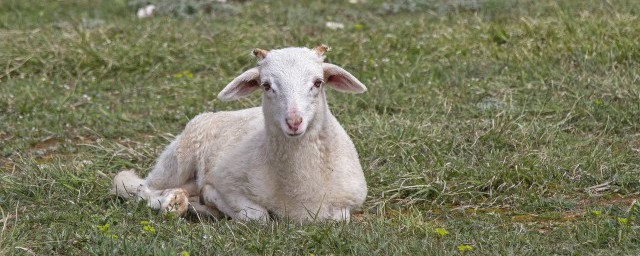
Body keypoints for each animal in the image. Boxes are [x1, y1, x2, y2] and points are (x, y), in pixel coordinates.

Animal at [112, 45, 368, 223]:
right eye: (266, 85)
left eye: (318, 82)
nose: (294, 122)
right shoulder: (228, 183)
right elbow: (258, 217)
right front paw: (211, 199)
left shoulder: (349, 203)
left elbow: (339, 218)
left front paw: (207, 205)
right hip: (178, 158)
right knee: (139, 188)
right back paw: (173, 203)